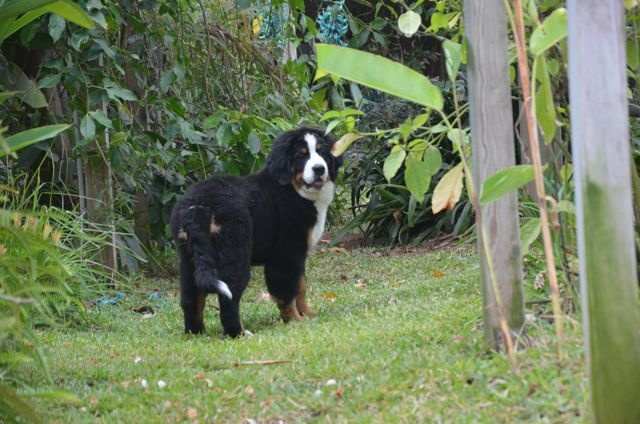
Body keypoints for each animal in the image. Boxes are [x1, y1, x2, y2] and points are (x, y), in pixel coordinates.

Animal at [169, 126, 340, 338]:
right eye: (301, 155)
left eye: (322, 152)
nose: (319, 169)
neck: (294, 190)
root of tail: (199, 205)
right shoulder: (285, 254)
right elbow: (286, 292)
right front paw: (295, 320)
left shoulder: (298, 254)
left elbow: (300, 286)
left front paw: (308, 313)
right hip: (236, 253)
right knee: (229, 297)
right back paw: (239, 333)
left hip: (188, 258)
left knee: (190, 299)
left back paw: (195, 333)